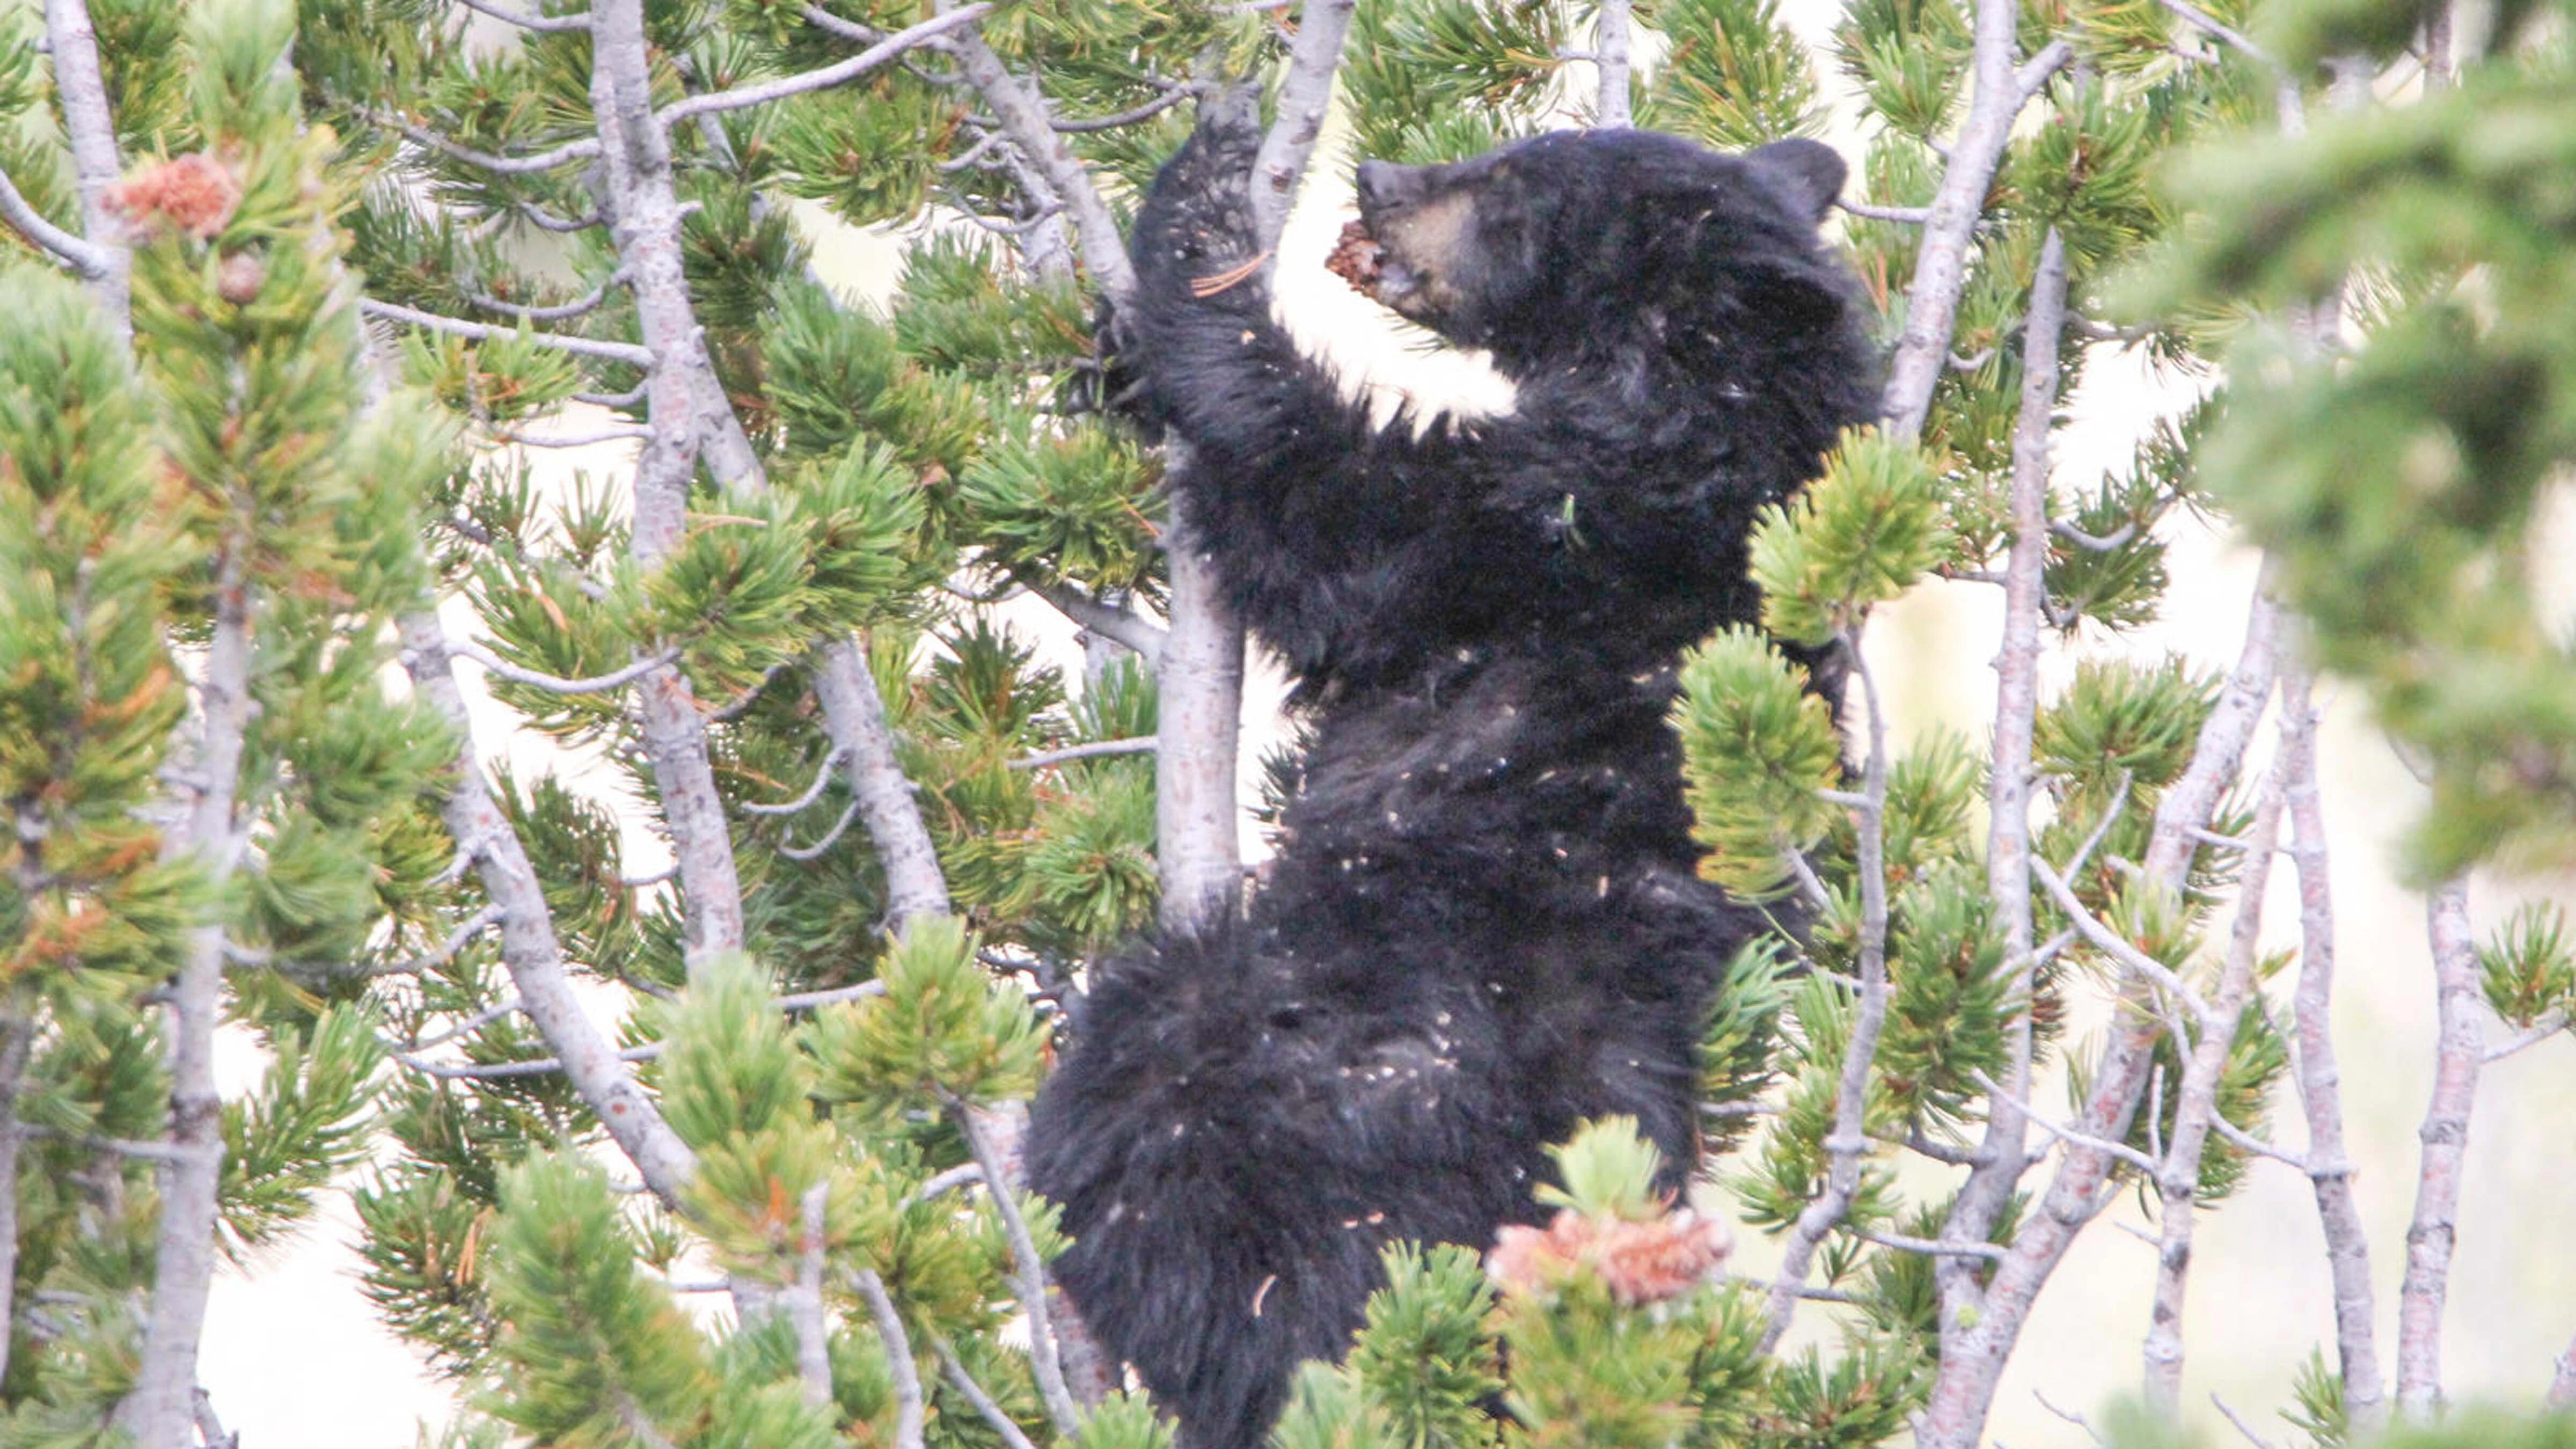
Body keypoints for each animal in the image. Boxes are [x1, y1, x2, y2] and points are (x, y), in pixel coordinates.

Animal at [1027, 90, 1877, 1449]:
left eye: (1517, 187)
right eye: (1521, 144)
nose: (1378, 174)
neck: (1731, 435)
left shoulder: (1551, 526)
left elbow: (1328, 509)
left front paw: (1207, 209)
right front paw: (1117, 345)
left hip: (1279, 1033)